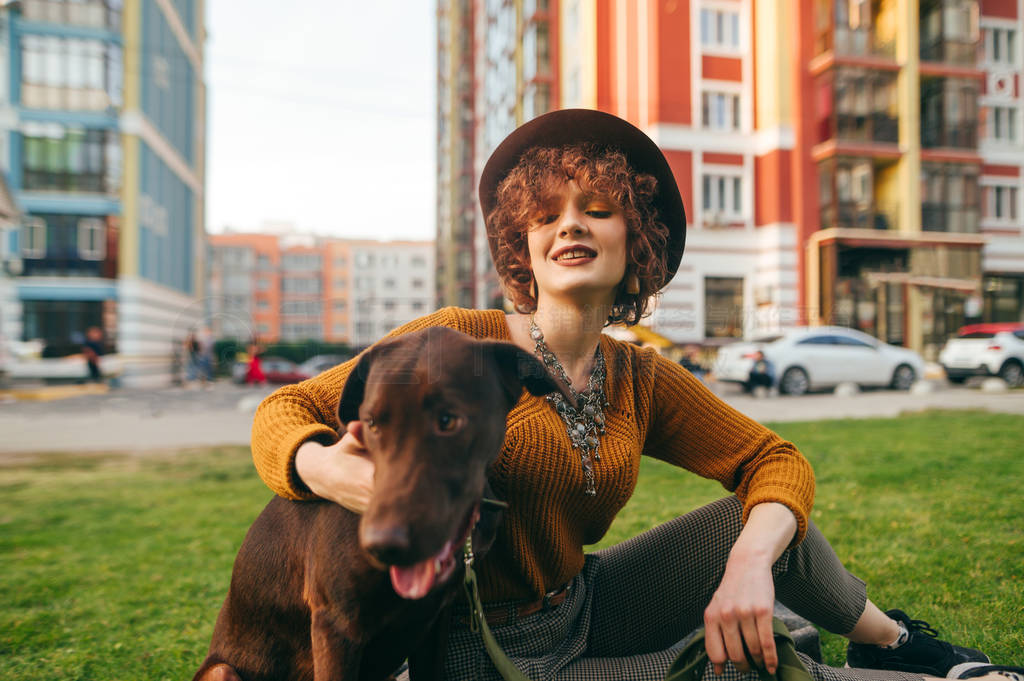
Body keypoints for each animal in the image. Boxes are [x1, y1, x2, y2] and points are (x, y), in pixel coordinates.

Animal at [194, 327, 565, 679]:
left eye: (448, 420)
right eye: (371, 423)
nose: (383, 546)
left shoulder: (436, 621)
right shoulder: (336, 627)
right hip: (222, 670)